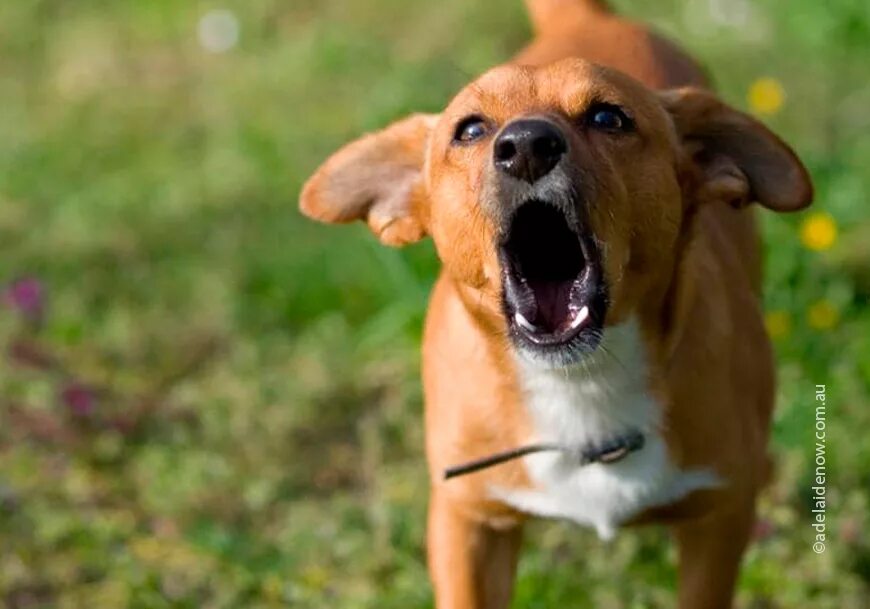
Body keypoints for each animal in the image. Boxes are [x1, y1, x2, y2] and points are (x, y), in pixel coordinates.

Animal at [298, 2, 812, 604]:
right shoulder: (468, 523)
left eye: (609, 118)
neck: (581, 384)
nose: (525, 146)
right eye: (470, 129)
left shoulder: (717, 521)